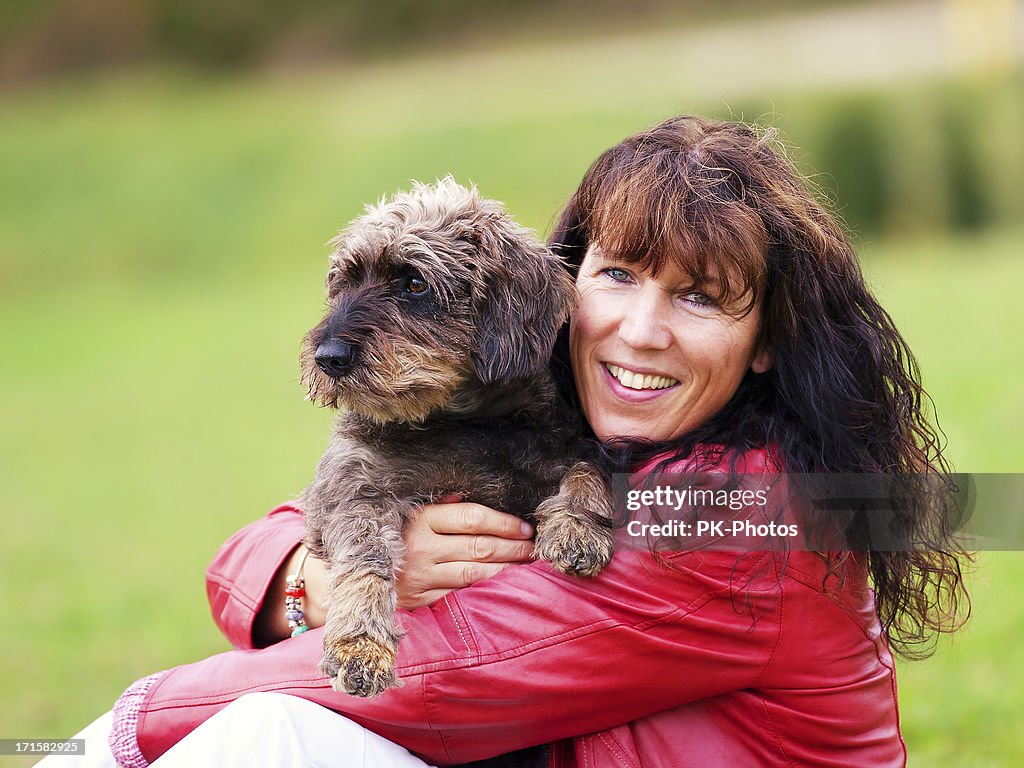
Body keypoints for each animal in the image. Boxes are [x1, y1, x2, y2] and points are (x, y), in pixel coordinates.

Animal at [299, 179, 610, 696]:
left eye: (415, 283)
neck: (457, 421)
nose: (327, 357)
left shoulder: (559, 445)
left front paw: (578, 527)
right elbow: (363, 555)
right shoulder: (352, 487)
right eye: (345, 281)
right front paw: (359, 645)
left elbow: (586, 468)